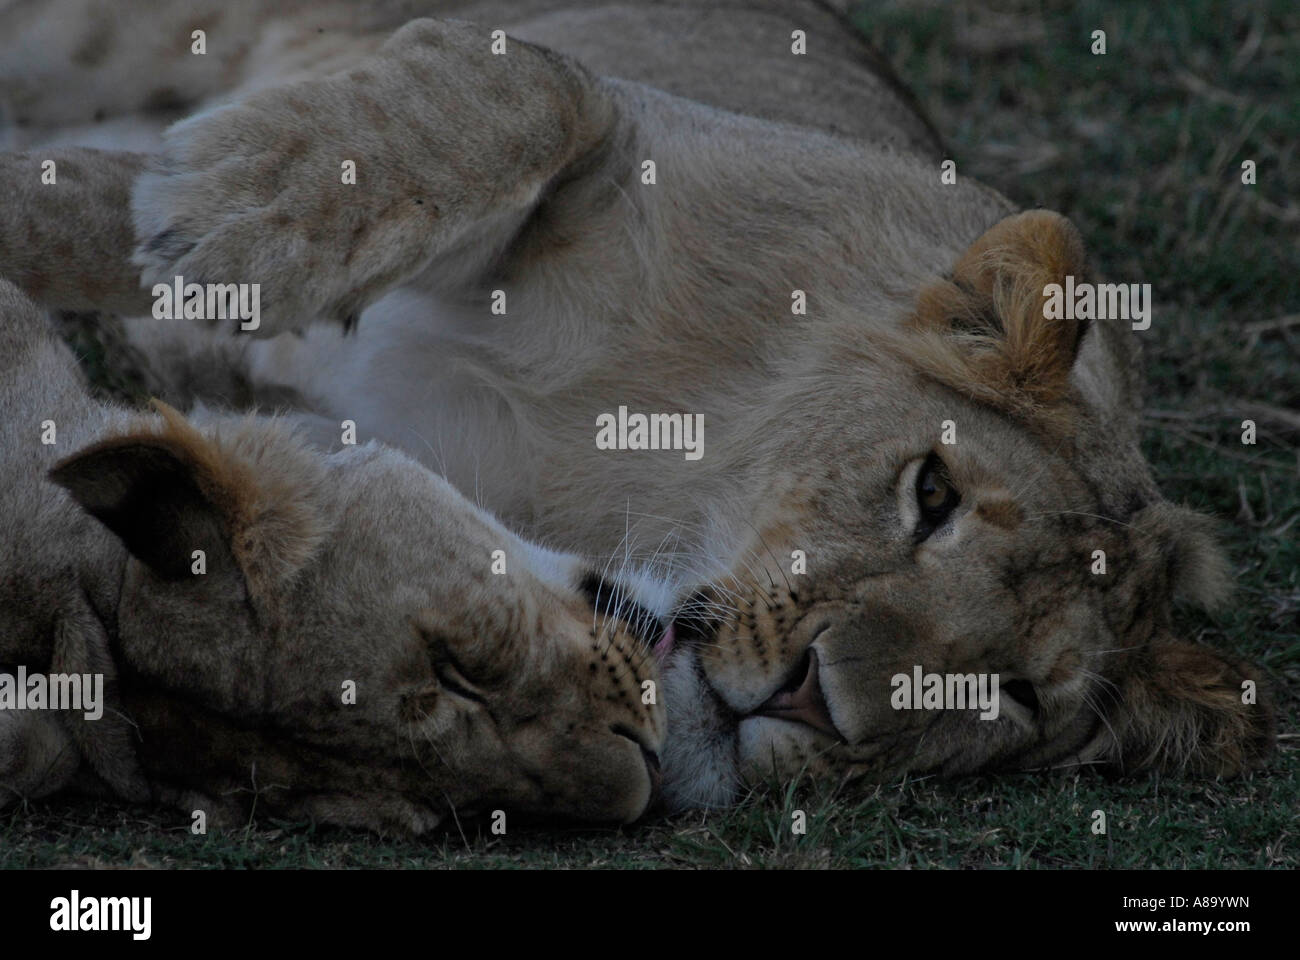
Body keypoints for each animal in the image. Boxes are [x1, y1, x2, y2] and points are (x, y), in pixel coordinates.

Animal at [0, 0, 1274, 822]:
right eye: (931, 494)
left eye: (1006, 699)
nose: (815, 699)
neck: (646, 473)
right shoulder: (617, 125)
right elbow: (522, 91)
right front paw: (233, 212)